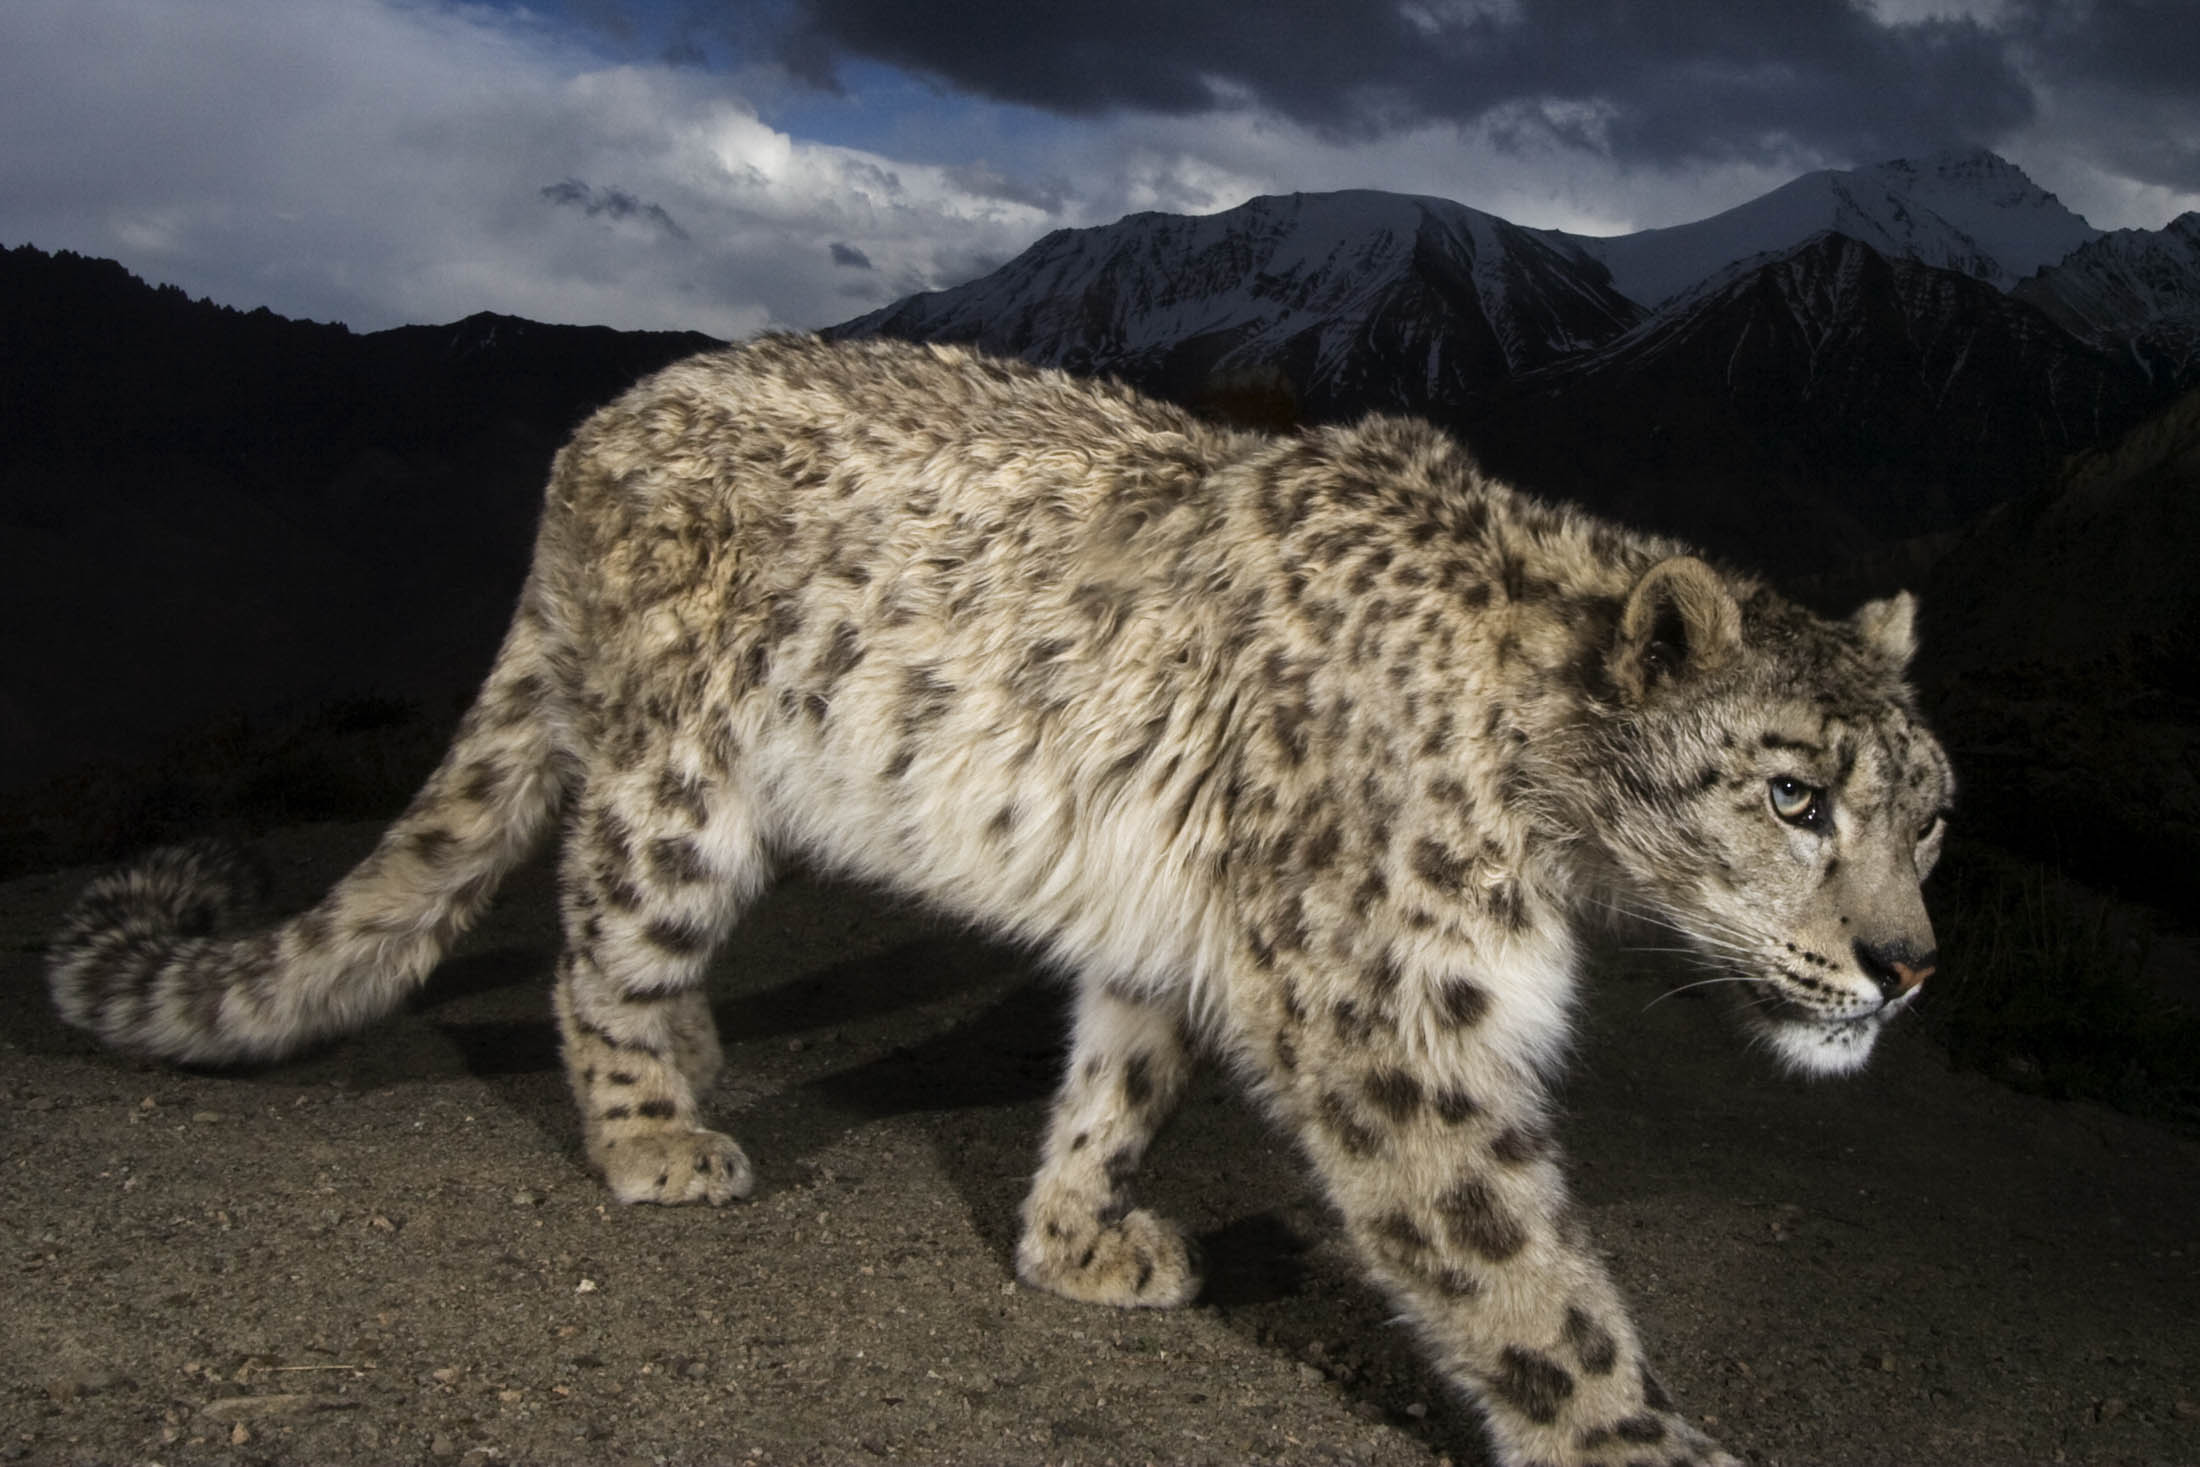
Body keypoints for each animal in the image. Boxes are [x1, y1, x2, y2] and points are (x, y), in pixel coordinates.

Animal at [47, 336, 1944, 1467]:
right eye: (1795, 795)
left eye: (1933, 815)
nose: (1911, 967)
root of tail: (594, 431)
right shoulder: (1393, 1015)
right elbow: (1519, 1270)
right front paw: (1640, 1438)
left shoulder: (1180, 926)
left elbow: (1124, 1070)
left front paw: (1077, 1233)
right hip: (682, 799)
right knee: (597, 946)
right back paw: (659, 1129)